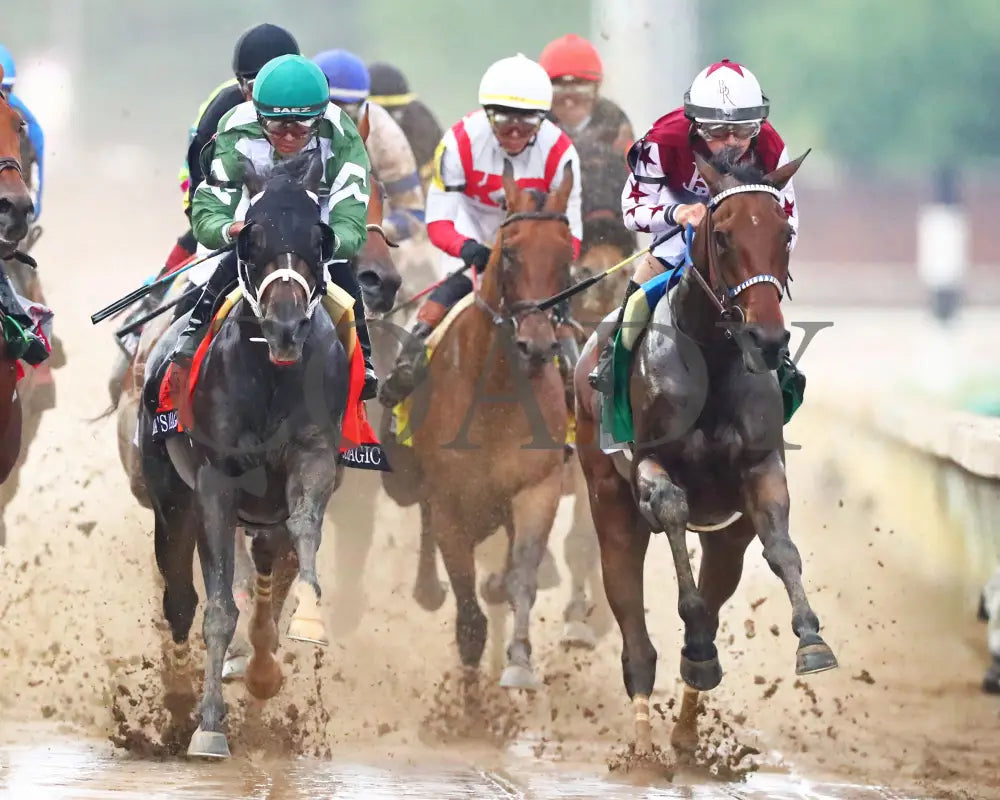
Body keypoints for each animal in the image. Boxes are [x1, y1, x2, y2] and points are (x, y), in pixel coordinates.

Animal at [380, 161, 576, 688]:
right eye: (508, 253)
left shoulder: (538, 488)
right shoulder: (449, 500)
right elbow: (469, 617)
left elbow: (521, 576)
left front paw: (520, 661)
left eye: (566, 256)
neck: (497, 397)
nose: (536, 345)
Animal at [572, 150, 836, 756]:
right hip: (608, 501)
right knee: (631, 620)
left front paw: (811, 640)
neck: (712, 361)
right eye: (722, 235)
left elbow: (782, 548)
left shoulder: (760, 471)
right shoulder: (646, 464)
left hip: (727, 536)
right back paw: (645, 739)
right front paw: (693, 638)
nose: (767, 339)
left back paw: (688, 726)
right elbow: (671, 511)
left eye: (785, 232)